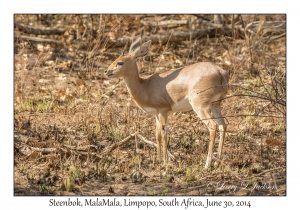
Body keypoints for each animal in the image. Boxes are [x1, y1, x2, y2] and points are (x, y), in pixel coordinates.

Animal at [104, 37, 229, 169]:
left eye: (120, 62)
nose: (106, 71)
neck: (145, 86)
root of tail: (221, 72)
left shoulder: (163, 111)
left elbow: (164, 134)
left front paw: (165, 161)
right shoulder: (156, 114)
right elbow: (157, 135)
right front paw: (158, 159)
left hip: (200, 107)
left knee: (213, 126)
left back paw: (207, 164)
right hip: (216, 105)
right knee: (223, 125)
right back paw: (217, 161)